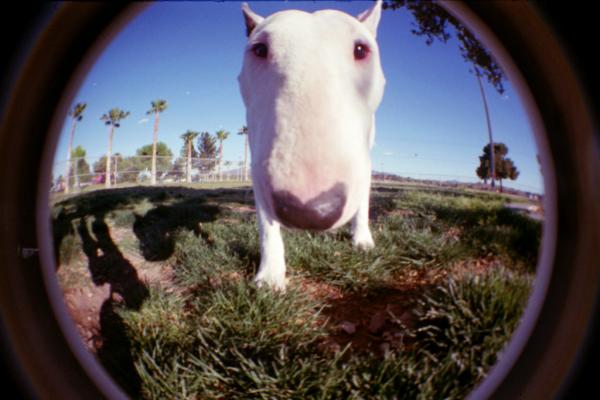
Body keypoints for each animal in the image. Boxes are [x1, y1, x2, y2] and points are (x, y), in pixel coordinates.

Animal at [238, 0, 384, 288]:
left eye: (360, 49)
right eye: (259, 49)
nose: (309, 211)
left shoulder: (364, 157)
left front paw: (362, 239)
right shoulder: (258, 156)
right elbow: (265, 218)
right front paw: (270, 276)